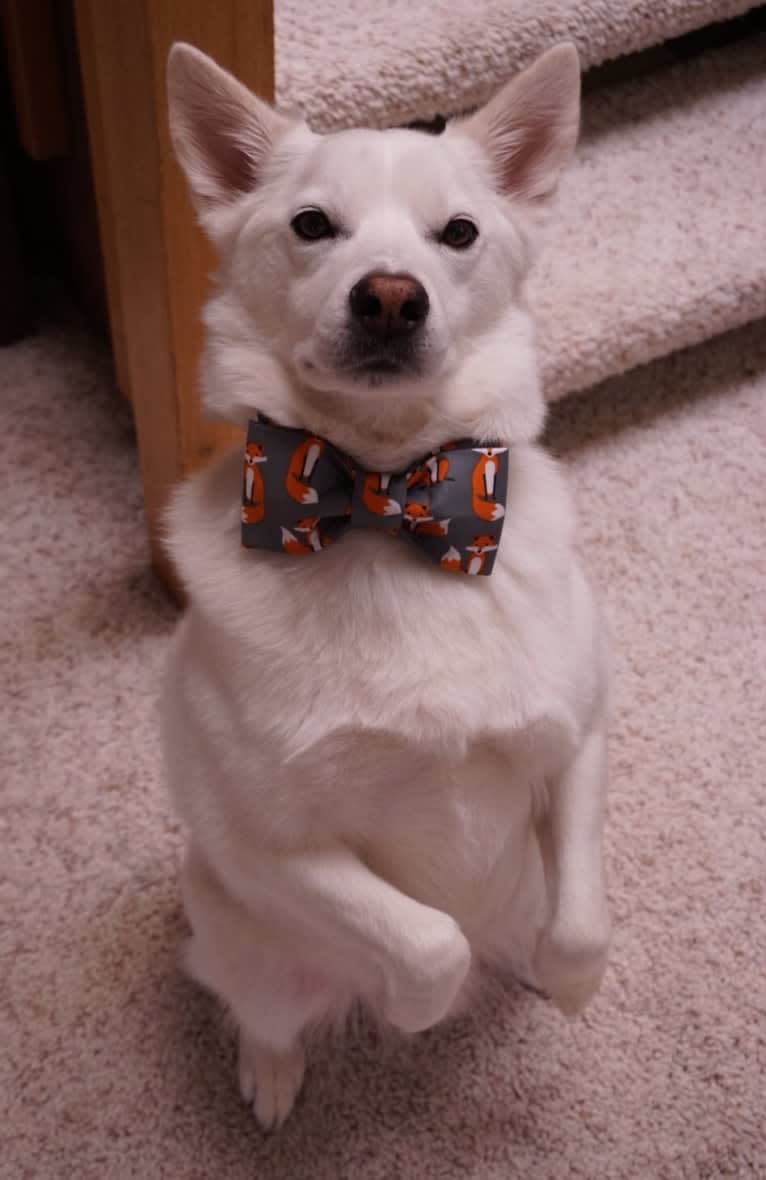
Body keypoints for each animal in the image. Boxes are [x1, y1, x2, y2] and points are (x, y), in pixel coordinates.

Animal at [159, 41, 609, 1128]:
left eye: (460, 233)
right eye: (311, 225)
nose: (392, 298)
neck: (386, 500)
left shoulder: (579, 741)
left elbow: (583, 925)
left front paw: (570, 982)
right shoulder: (268, 847)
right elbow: (425, 942)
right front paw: (415, 1014)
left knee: (522, 925)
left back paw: (523, 966)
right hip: (243, 935)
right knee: (264, 1006)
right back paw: (274, 1073)